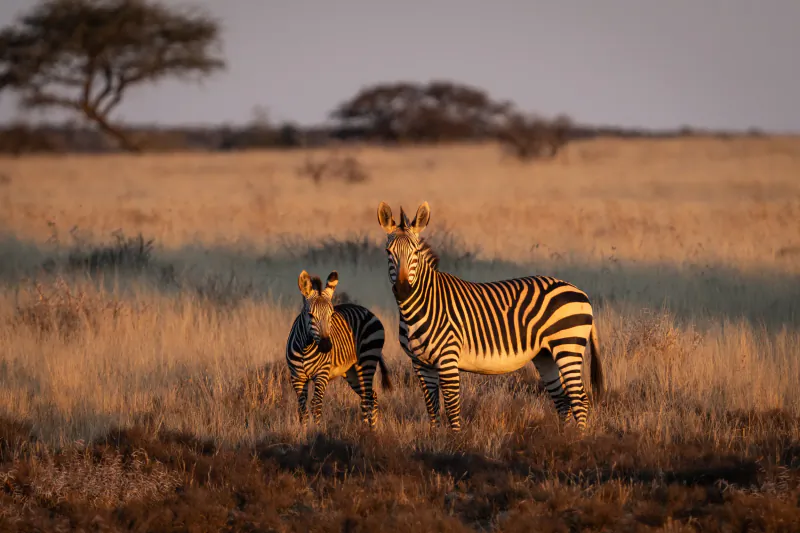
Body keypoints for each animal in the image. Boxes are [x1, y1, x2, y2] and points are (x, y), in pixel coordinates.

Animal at [286, 270, 392, 428]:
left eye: (331, 314)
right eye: (310, 315)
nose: (326, 346)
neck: (305, 348)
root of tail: (367, 311)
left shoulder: (322, 374)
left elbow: (316, 404)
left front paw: (316, 431)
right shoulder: (297, 377)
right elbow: (302, 408)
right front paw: (303, 431)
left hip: (367, 361)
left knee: (368, 397)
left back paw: (370, 429)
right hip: (351, 371)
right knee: (369, 396)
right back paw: (368, 428)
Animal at [376, 201, 604, 432]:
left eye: (414, 252)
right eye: (388, 252)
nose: (403, 290)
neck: (420, 307)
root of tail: (580, 291)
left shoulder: (448, 359)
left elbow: (452, 408)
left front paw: (455, 440)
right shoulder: (420, 364)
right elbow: (432, 409)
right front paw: (434, 437)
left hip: (567, 347)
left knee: (579, 399)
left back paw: (577, 438)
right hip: (545, 354)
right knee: (562, 400)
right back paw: (562, 436)